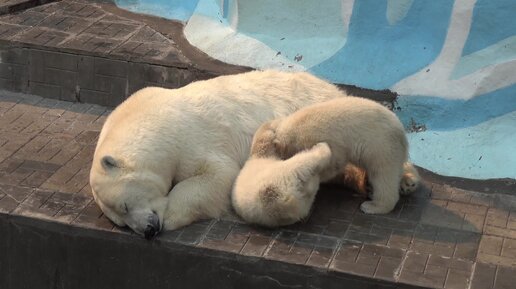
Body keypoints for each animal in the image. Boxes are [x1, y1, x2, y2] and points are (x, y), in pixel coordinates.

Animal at [89, 70, 350, 238]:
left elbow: (217, 175)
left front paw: (172, 214)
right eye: (121, 223)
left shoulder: (192, 139)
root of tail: (337, 91)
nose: (148, 230)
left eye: (124, 206)